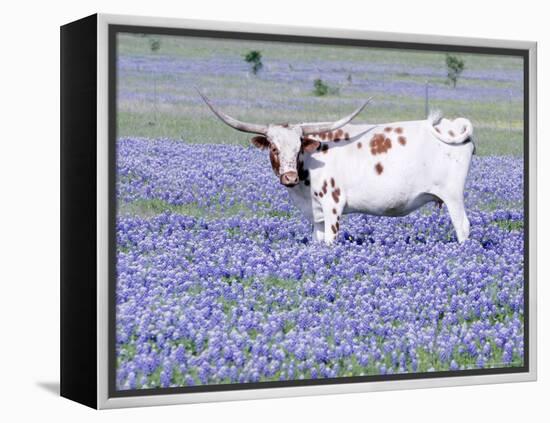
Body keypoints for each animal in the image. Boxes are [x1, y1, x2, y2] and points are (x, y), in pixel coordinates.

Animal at [201, 92, 476, 245]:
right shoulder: (317, 215)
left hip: (453, 196)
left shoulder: (332, 206)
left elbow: (332, 241)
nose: (289, 177)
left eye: (298, 147)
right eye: (274, 148)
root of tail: (452, 125)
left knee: (463, 227)